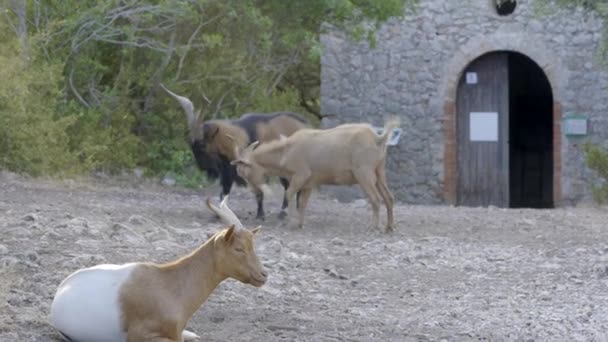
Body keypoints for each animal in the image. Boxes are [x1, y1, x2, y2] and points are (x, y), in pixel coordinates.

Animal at [49, 198, 264, 342]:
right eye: (239, 248)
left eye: (252, 244)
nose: (263, 275)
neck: (167, 285)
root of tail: (61, 289)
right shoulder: (139, 335)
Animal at [160, 85, 308, 219]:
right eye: (191, 145)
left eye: (202, 144)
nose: (203, 167)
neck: (240, 136)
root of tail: (305, 125)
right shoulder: (227, 171)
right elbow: (224, 192)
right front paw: (219, 214)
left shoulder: (253, 170)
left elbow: (258, 192)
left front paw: (260, 215)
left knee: (291, 185)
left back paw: (284, 213)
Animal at [229, 117, 400, 232]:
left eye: (245, 171)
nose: (256, 191)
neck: (286, 151)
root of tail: (378, 138)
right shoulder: (308, 183)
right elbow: (303, 203)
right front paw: (300, 224)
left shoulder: (300, 175)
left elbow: (290, 194)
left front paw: (289, 222)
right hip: (378, 171)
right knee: (388, 197)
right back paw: (389, 227)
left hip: (363, 173)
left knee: (376, 199)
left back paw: (373, 226)